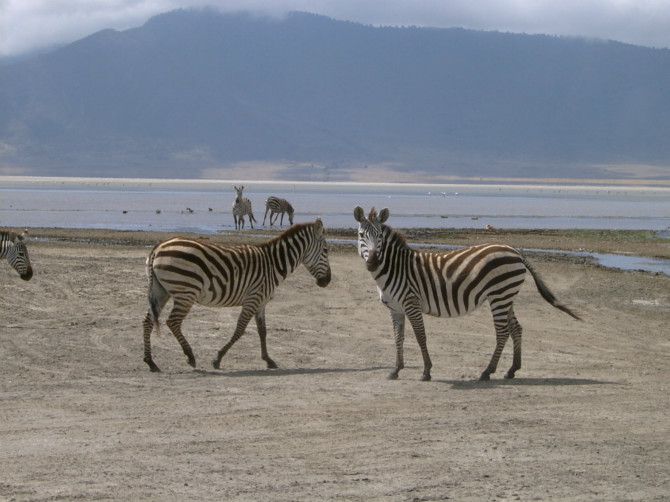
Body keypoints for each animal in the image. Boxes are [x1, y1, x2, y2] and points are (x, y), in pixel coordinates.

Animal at [143, 220, 332, 372]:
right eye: (326, 250)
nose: (328, 281)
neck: (273, 264)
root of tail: (158, 247)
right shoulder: (252, 299)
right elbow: (240, 329)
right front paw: (218, 358)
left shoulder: (261, 302)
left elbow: (262, 331)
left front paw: (268, 360)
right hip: (186, 292)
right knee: (173, 322)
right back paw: (190, 356)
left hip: (161, 291)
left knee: (148, 321)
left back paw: (151, 362)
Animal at [356, 206, 584, 382]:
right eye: (361, 235)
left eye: (380, 236)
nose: (373, 262)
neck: (395, 268)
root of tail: (515, 251)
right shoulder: (395, 309)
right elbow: (398, 337)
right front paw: (395, 370)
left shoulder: (412, 303)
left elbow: (421, 337)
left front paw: (426, 371)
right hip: (508, 295)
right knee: (516, 328)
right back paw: (512, 370)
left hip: (499, 295)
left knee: (502, 332)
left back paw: (487, 371)